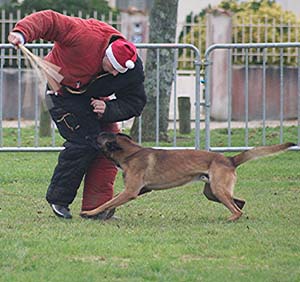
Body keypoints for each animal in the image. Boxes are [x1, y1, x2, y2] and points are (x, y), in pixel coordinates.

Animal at [79, 133, 292, 221]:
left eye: (98, 137)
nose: (86, 136)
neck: (130, 153)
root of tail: (230, 159)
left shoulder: (131, 191)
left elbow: (107, 202)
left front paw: (90, 212)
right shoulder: (140, 190)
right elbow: (112, 201)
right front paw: (104, 214)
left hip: (217, 190)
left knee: (236, 208)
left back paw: (230, 219)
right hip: (212, 192)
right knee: (239, 202)